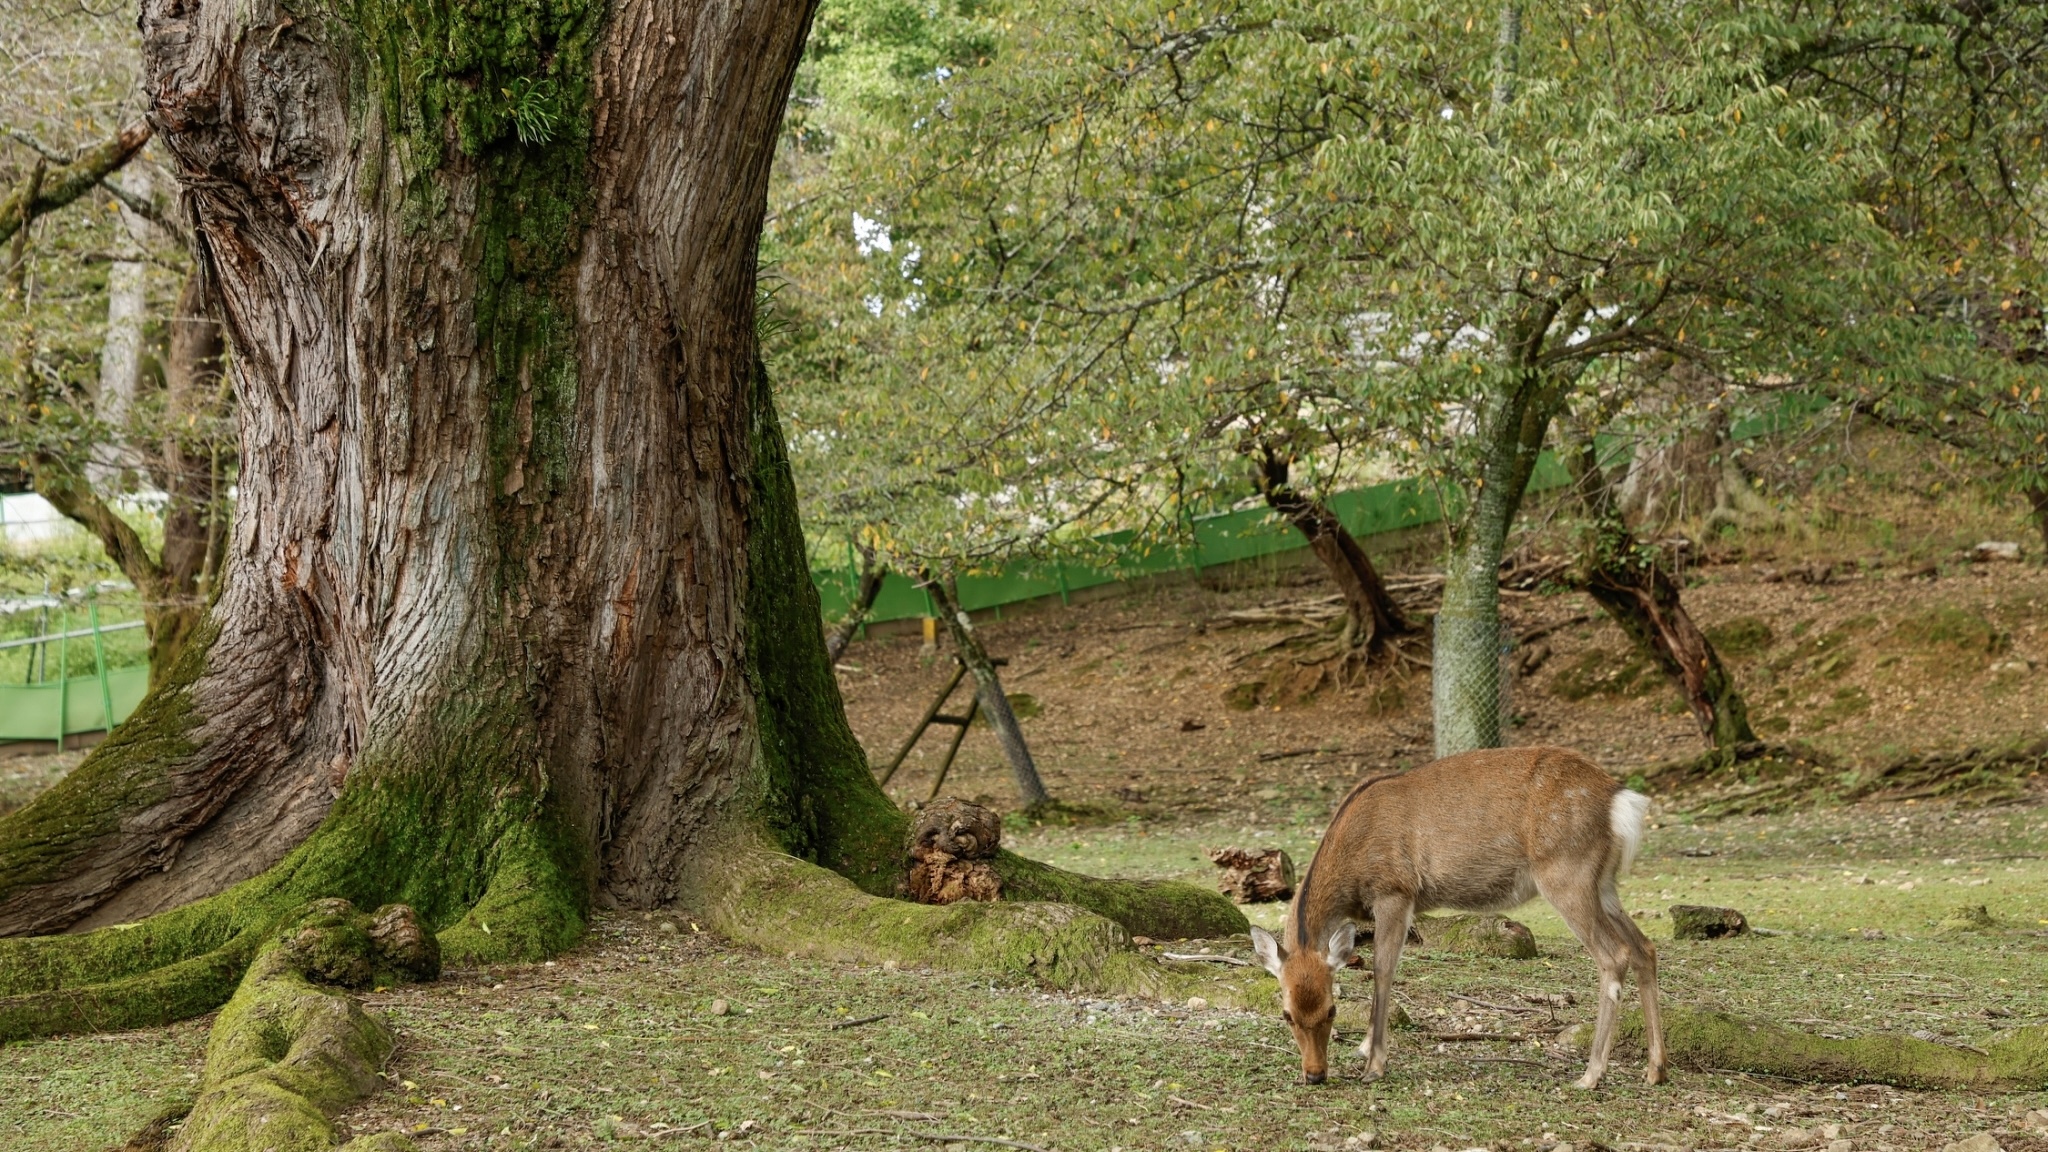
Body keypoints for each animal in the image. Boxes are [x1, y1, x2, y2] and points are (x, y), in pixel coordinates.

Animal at [1245, 746, 1662, 1082]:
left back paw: (1592, 1074)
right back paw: (1656, 1069)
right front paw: (1364, 1049)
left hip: (1566, 872)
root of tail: (1620, 800)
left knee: (1615, 954)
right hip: (1603, 883)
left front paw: (1374, 1064)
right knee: (1645, 947)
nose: (1315, 1074)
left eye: (1332, 1010)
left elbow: (1383, 970)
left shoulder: (1395, 891)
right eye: (1286, 1014)